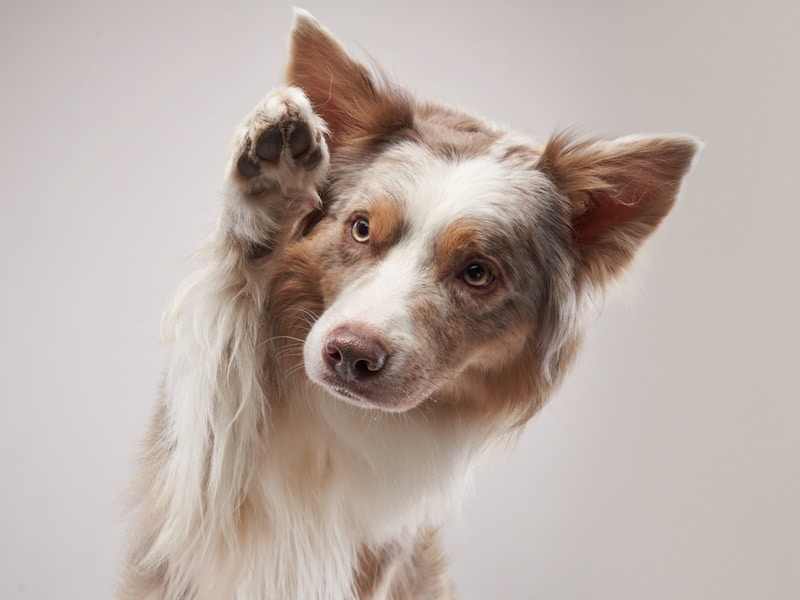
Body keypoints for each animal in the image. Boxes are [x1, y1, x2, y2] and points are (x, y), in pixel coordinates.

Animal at [119, 9, 700, 600]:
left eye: (477, 273)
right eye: (360, 228)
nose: (351, 355)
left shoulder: (380, 554)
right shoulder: (184, 509)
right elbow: (219, 373)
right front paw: (269, 183)